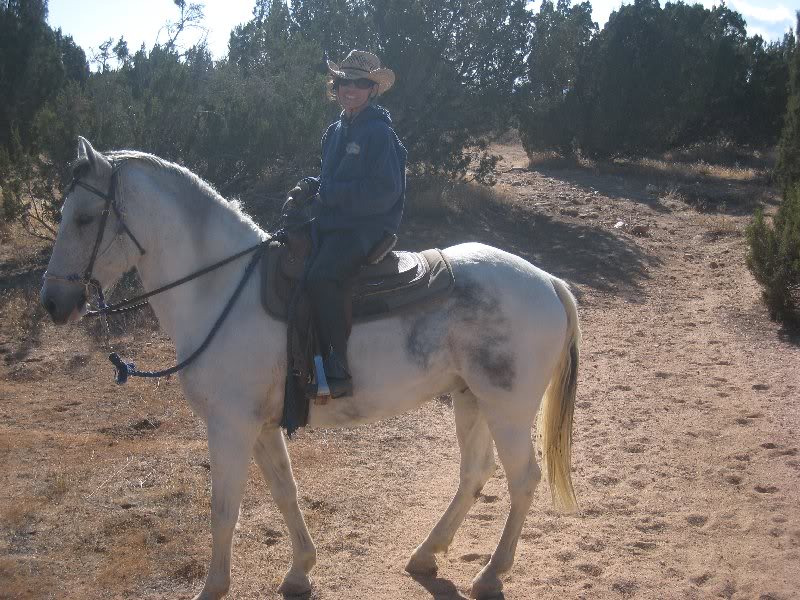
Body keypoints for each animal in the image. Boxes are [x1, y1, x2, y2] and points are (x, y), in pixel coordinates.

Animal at [40, 138, 580, 596]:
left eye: (85, 218)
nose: (52, 303)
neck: (219, 288)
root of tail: (548, 280)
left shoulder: (230, 425)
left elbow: (224, 510)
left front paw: (213, 587)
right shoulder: (260, 426)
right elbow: (285, 491)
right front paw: (300, 570)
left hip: (508, 410)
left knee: (523, 479)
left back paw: (490, 575)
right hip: (471, 399)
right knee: (474, 473)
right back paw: (427, 555)